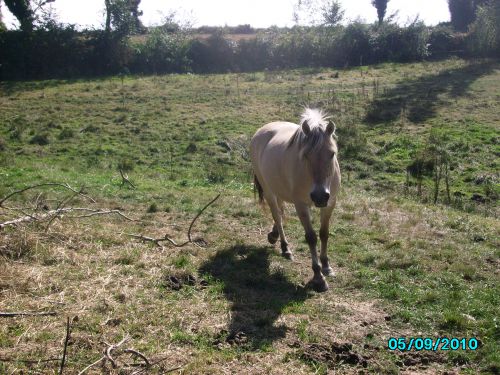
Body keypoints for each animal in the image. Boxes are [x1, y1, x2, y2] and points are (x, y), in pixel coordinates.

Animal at [250, 108, 340, 294]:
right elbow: (311, 237)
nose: (320, 196)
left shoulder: (330, 203)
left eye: (332, 154)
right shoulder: (301, 205)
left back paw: (273, 235)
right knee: (277, 216)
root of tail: (261, 131)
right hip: (268, 190)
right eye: (305, 155)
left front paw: (326, 266)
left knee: (281, 211)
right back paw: (285, 248)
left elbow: (324, 233)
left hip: (279, 189)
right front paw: (318, 277)